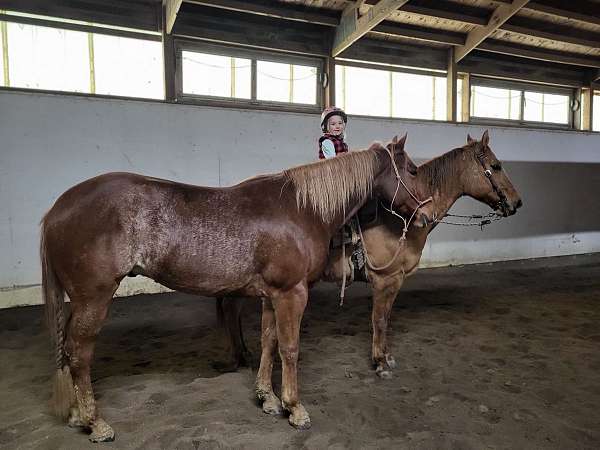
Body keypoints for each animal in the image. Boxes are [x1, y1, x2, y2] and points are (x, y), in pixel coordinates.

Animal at [39, 135, 432, 442]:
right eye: (413, 170)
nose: (427, 216)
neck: (302, 208)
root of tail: (57, 209)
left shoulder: (273, 295)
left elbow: (269, 343)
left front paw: (267, 399)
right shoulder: (292, 293)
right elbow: (290, 349)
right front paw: (295, 407)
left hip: (80, 301)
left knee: (67, 350)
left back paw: (76, 414)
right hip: (94, 299)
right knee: (79, 354)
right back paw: (95, 423)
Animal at [214, 131, 520, 384]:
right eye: (496, 166)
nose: (517, 202)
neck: (399, 217)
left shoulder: (396, 281)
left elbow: (386, 319)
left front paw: (387, 357)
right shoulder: (385, 279)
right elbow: (380, 320)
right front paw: (380, 363)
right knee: (230, 308)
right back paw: (240, 356)